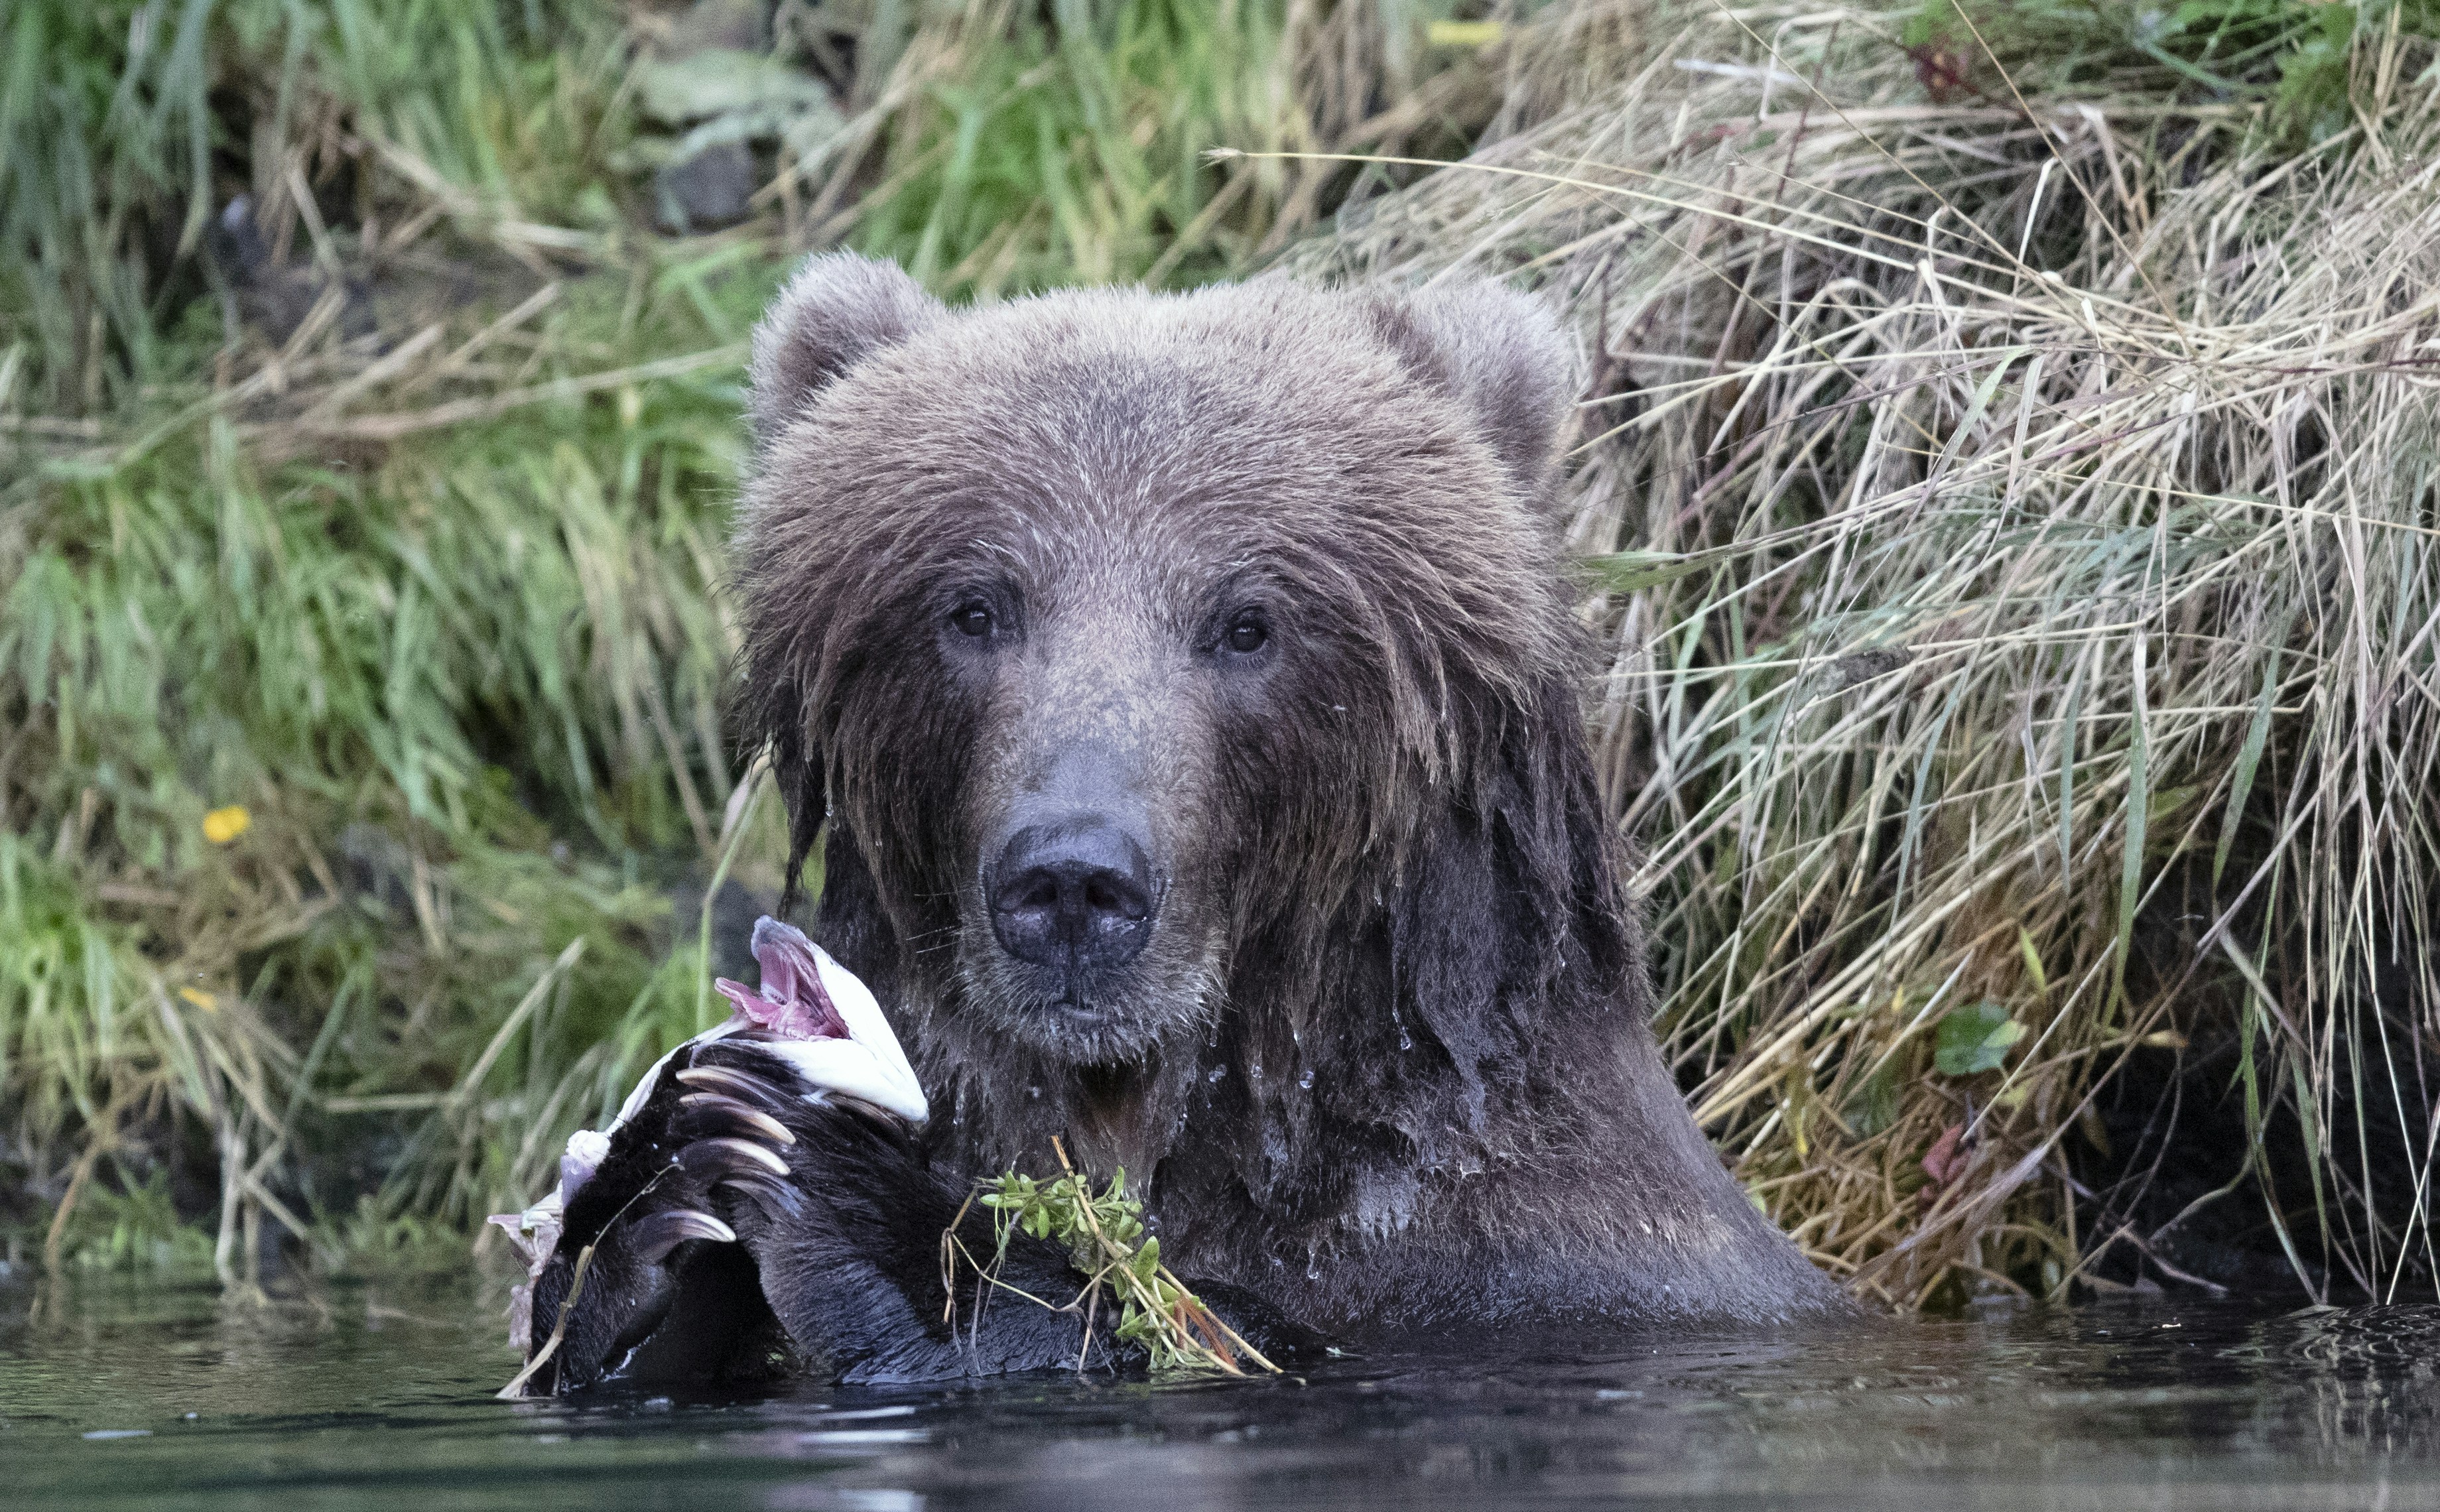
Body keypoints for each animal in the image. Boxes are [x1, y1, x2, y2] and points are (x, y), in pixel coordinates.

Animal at [517, 254, 1850, 1391]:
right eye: (972, 605)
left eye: (1248, 621)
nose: (1070, 882)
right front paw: (643, 1215)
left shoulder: (1542, 1261)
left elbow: (1201, 1324)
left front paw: (843, 1193)